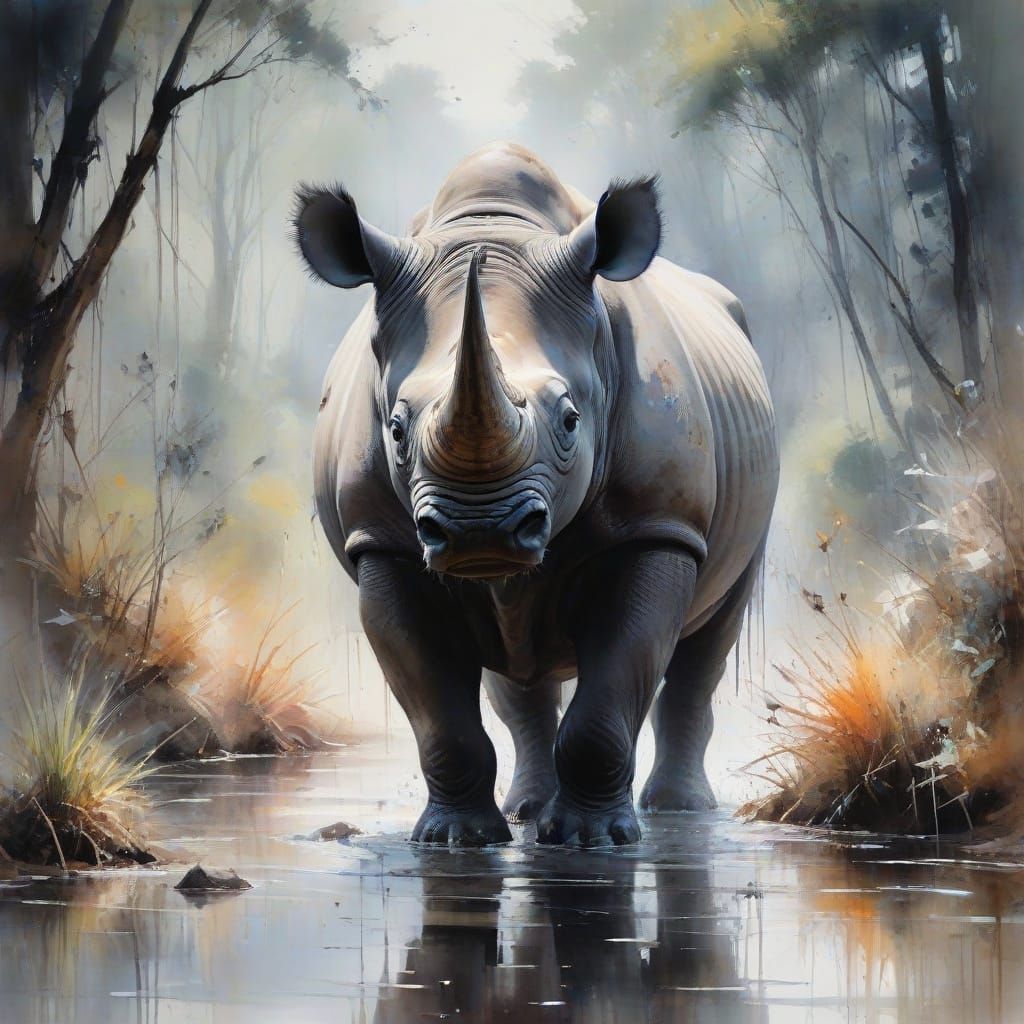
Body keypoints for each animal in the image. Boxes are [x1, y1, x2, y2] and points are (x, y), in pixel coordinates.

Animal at [296, 142, 778, 847]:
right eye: (396, 428)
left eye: (572, 420)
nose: (480, 531)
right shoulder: (382, 543)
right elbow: (438, 713)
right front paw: (456, 840)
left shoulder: (657, 524)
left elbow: (611, 695)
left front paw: (589, 841)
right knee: (517, 674)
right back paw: (526, 809)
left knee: (709, 637)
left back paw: (678, 812)